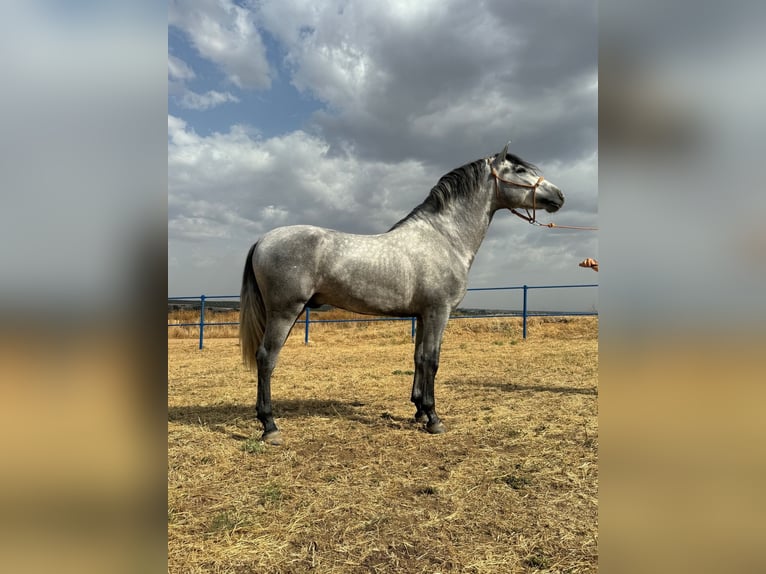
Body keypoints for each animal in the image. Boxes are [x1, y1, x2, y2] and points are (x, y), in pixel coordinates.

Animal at [240, 144, 564, 446]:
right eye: (519, 170)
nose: (559, 196)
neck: (444, 239)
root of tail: (263, 240)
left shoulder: (422, 315)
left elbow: (418, 357)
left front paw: (418, 410)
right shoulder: (438, 311)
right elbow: (432, 360)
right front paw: (433, 418)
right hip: (285, 311)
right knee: (267, 358)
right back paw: (270, 426)